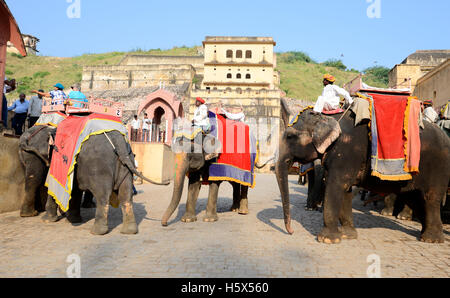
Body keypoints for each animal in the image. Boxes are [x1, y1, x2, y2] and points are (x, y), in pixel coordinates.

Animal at [18, 124, 168, 234]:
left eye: (27, 151)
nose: (21, 146)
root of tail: (118, 141)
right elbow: (74, 190)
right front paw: (72, 219)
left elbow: (45, 182)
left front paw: (46, 219)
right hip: (126, 164)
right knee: (125, 195)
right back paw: (129, 231)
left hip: (99, 168)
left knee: (103, 196)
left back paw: (97, 231)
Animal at [274, 108, 450, 243]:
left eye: (290, 136)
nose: (291, 231)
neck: (329, 116)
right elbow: (345, 191)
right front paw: (347, 235)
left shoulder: (346, 152)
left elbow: (336, 185)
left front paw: (327, 239)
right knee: (415, 198)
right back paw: (424, 234)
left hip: (439, 168)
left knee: (431, 198)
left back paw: (431, 239)